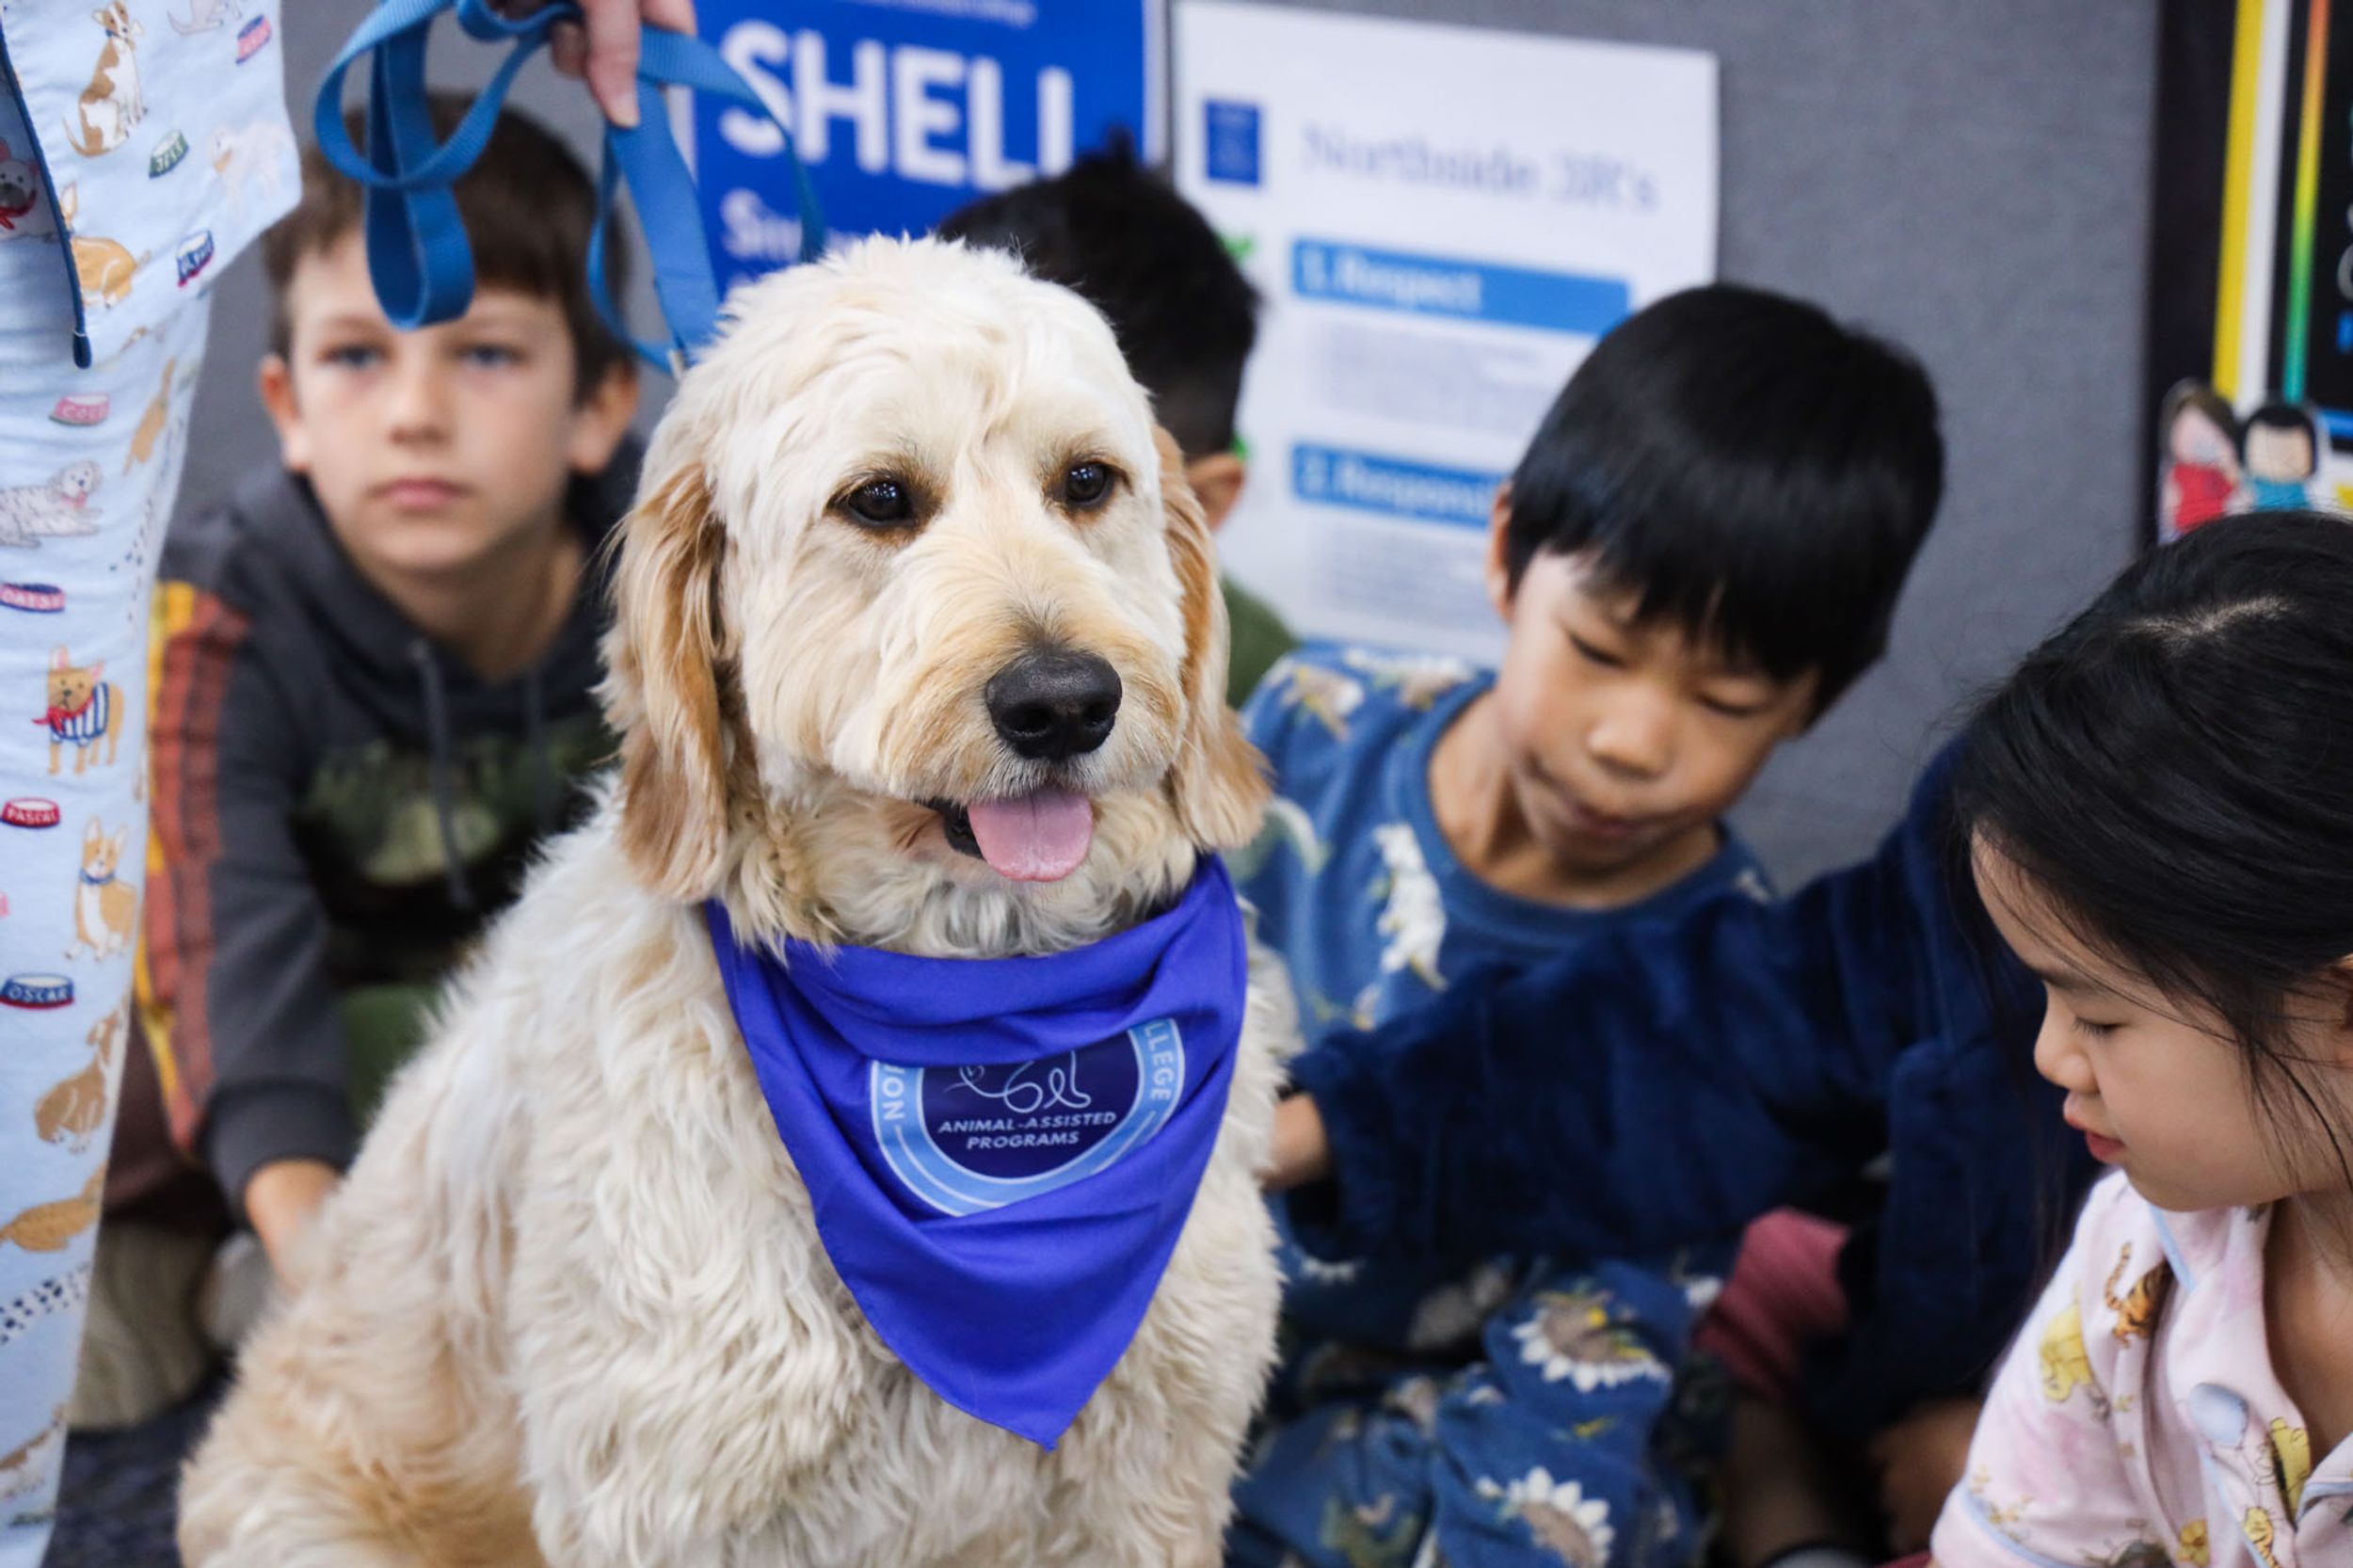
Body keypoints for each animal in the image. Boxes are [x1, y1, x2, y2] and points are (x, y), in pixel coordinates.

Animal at [179, 237, 1295, 1568]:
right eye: (879, 500)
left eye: (1086, 481)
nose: (1064, 700)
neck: (984, 1017)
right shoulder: (671, 1489)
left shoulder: (1154, 1471)